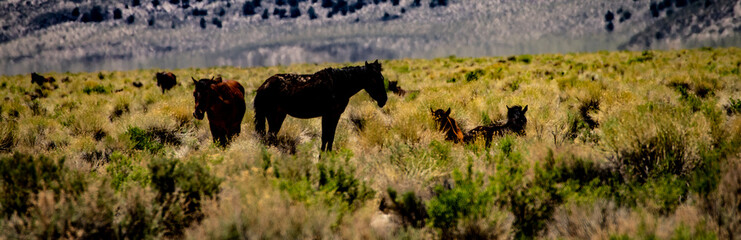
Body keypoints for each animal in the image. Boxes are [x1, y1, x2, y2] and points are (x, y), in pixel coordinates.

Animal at [254, 60, 388, 151]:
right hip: (274, 116)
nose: (384, 100)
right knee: (269, 138)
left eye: (382, 78)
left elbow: (330, 137)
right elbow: (325, 137)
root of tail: (263, 86)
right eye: (374, 79)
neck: (339, 84)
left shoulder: (335, 115)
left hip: (278, 116)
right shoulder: (327, 115)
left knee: (270, 137)